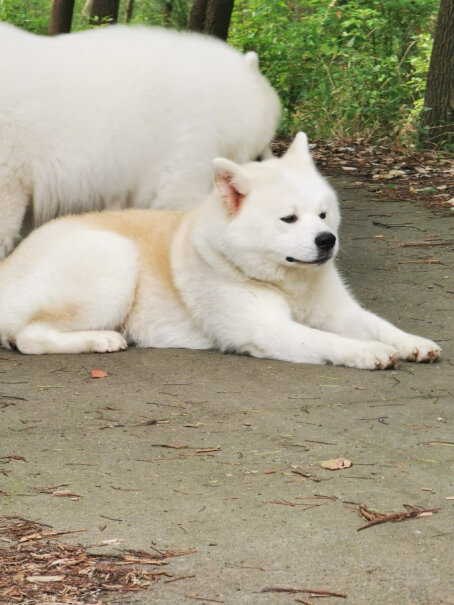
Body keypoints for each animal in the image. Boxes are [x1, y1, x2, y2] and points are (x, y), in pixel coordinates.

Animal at [0, 133, 442, 368]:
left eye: (323, 214)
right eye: (289, 219)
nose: (326, 241)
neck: (288, 283)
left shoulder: (338, 312)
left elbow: (379, 324)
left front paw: (411, 342)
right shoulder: (267, 330)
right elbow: (332, 342)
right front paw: (370, 352)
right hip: (115, 261)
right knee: (29, 337)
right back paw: (99, 340)